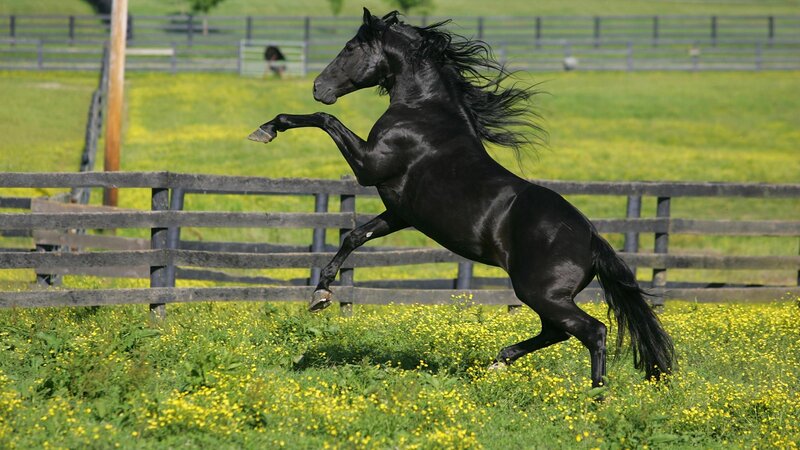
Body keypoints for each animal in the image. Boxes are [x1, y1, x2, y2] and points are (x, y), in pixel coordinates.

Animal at [248, 8, 674, 387]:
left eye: (351, 47)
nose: (318, 88)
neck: (423, 113)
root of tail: (591, 238)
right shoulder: (400, 212)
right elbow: (354, 236)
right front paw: (320, 293)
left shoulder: (369, 166)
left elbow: (326, 121)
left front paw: (267, 128)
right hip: (545, 296)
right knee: (557, 332)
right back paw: (500, 362)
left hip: (541, 293)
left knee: (592, 331)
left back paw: (596, 397)